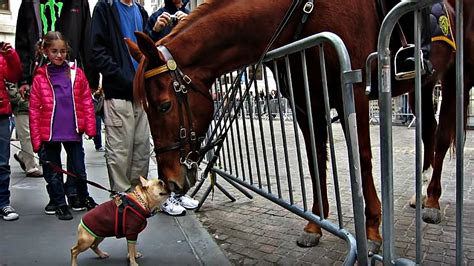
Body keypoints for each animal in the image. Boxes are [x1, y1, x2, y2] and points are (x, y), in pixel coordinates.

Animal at [126, 0, 462, 255]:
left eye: (164, 106)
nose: (170, 180)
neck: (304, 11)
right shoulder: (305, 102)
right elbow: (315, 159)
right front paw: (315, 224)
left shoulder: (353, 90)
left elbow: (363, 159)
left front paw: (372, 231)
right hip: (422, 87)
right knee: (429, 131)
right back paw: (421, 194)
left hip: (455, 77)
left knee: (443, 135)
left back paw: (432, 200)